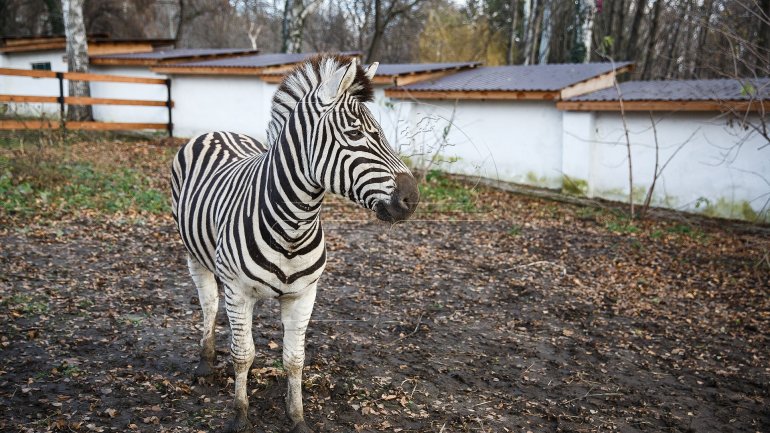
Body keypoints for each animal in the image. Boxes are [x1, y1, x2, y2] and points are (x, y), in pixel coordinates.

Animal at [170, 54, 420, 432]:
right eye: (355, 134)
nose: (412, 199)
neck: (293, 225)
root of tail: (218, 131)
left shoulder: (304, 294)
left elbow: (294, 359)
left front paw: (297, 417)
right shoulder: (238, 290)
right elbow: (242, 354)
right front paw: (240, 415)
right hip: (194, 254)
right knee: (209, 304)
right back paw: (205, 361)